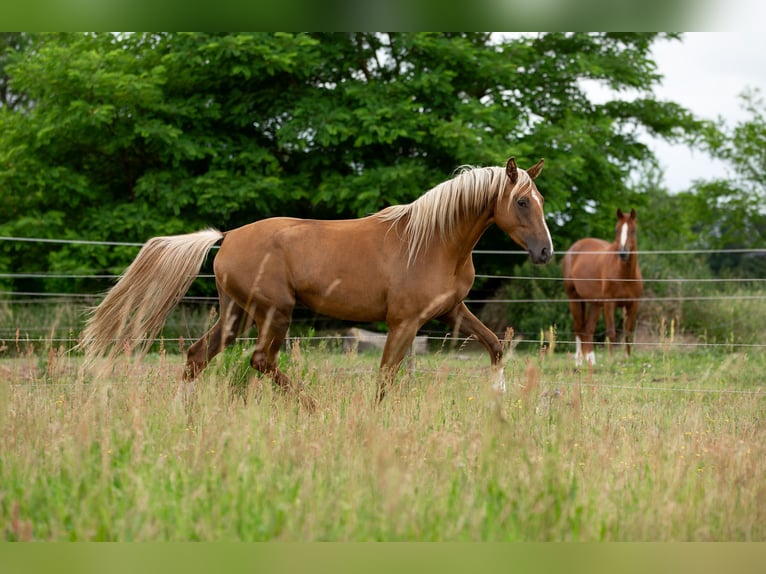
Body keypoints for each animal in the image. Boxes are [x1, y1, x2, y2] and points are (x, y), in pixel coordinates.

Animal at [78, 156, 553, 405]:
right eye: (522, 202)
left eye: (540, 200)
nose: (545, 252)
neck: (434, 240)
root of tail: (227, 236)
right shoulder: (403, 322)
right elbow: (385, 378)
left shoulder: (450, 312)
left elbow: (495, 346)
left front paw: (501, 401)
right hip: (275, 311)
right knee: (261, 361)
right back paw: (311, 406)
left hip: (237, 314)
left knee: (199, 355)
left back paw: (185, 413)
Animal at [561, 208, 643, 367]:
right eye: (617, 230)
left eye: (633, 230)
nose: (623, 253)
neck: (624, 274)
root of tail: (573, 249)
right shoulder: (609, 303)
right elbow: (611, 332)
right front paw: (611, 361)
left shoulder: (633, 304)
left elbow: (629, 333)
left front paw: (628, 359)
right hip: (574, 298)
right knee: (578, 328)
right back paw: (579, 362)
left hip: (595, 303)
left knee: (588, 329)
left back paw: (591, 361)